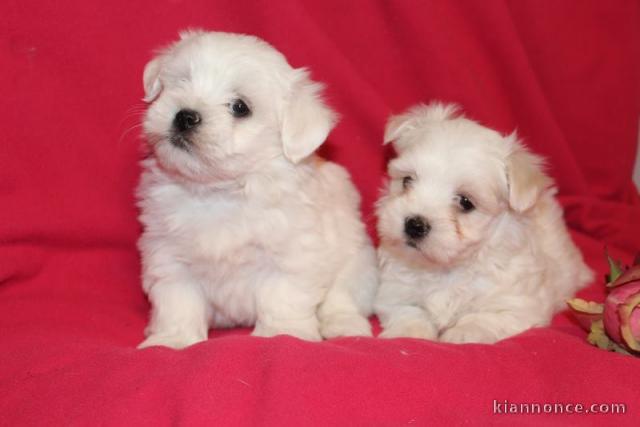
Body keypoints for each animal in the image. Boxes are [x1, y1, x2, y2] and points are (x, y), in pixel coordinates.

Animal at [134, 30, 376, 352]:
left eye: (240, 107)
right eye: (181, 81)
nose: (185, 116)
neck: (219, 191)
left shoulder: (290, 256)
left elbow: (281, 296)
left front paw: (281, 334)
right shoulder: (169, 256)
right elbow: (179, 302)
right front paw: (172, 340)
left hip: (358, 263)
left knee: (341, 298)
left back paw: (344, 327)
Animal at [376, 103, 592, 344]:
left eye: (465, 202)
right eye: (407, 181)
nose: (414, 224)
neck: (446, 269)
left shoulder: (517, 306)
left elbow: (484, 319)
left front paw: (461, 334)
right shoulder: (394, 292)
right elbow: (408, 311)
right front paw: (409, 334)